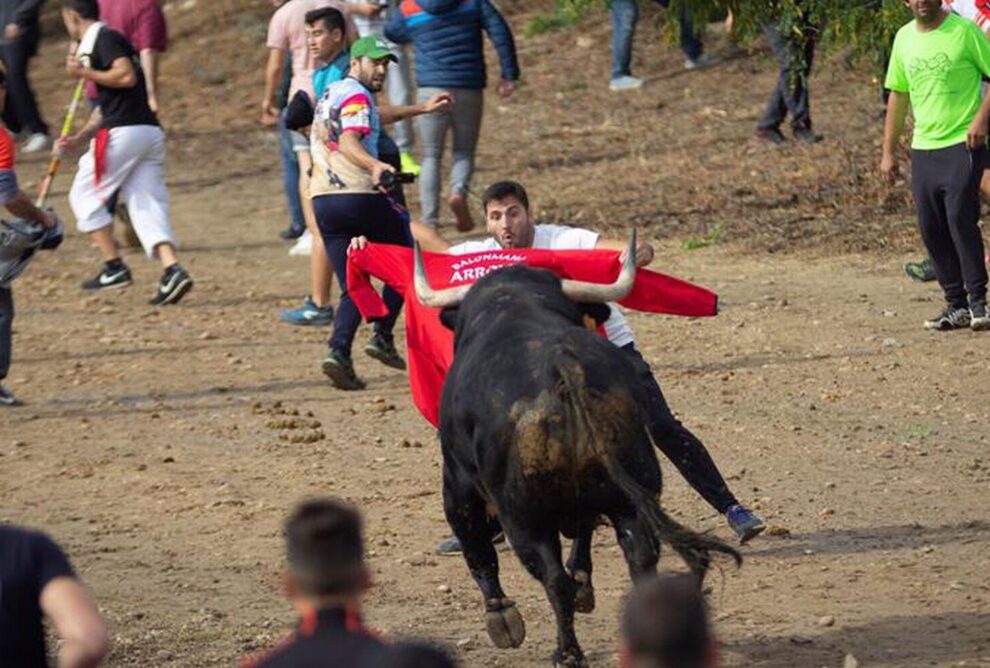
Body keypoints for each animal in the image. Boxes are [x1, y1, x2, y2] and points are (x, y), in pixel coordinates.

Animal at [434, 260, 744, 664]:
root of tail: (561, 368)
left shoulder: (458, 482)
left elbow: (477, 548)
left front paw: (501, 618)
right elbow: (584, 536)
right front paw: (583, 583)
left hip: (525, 517)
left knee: (552, 579)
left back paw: (566, 652)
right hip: (629, 495)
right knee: (641, 558)